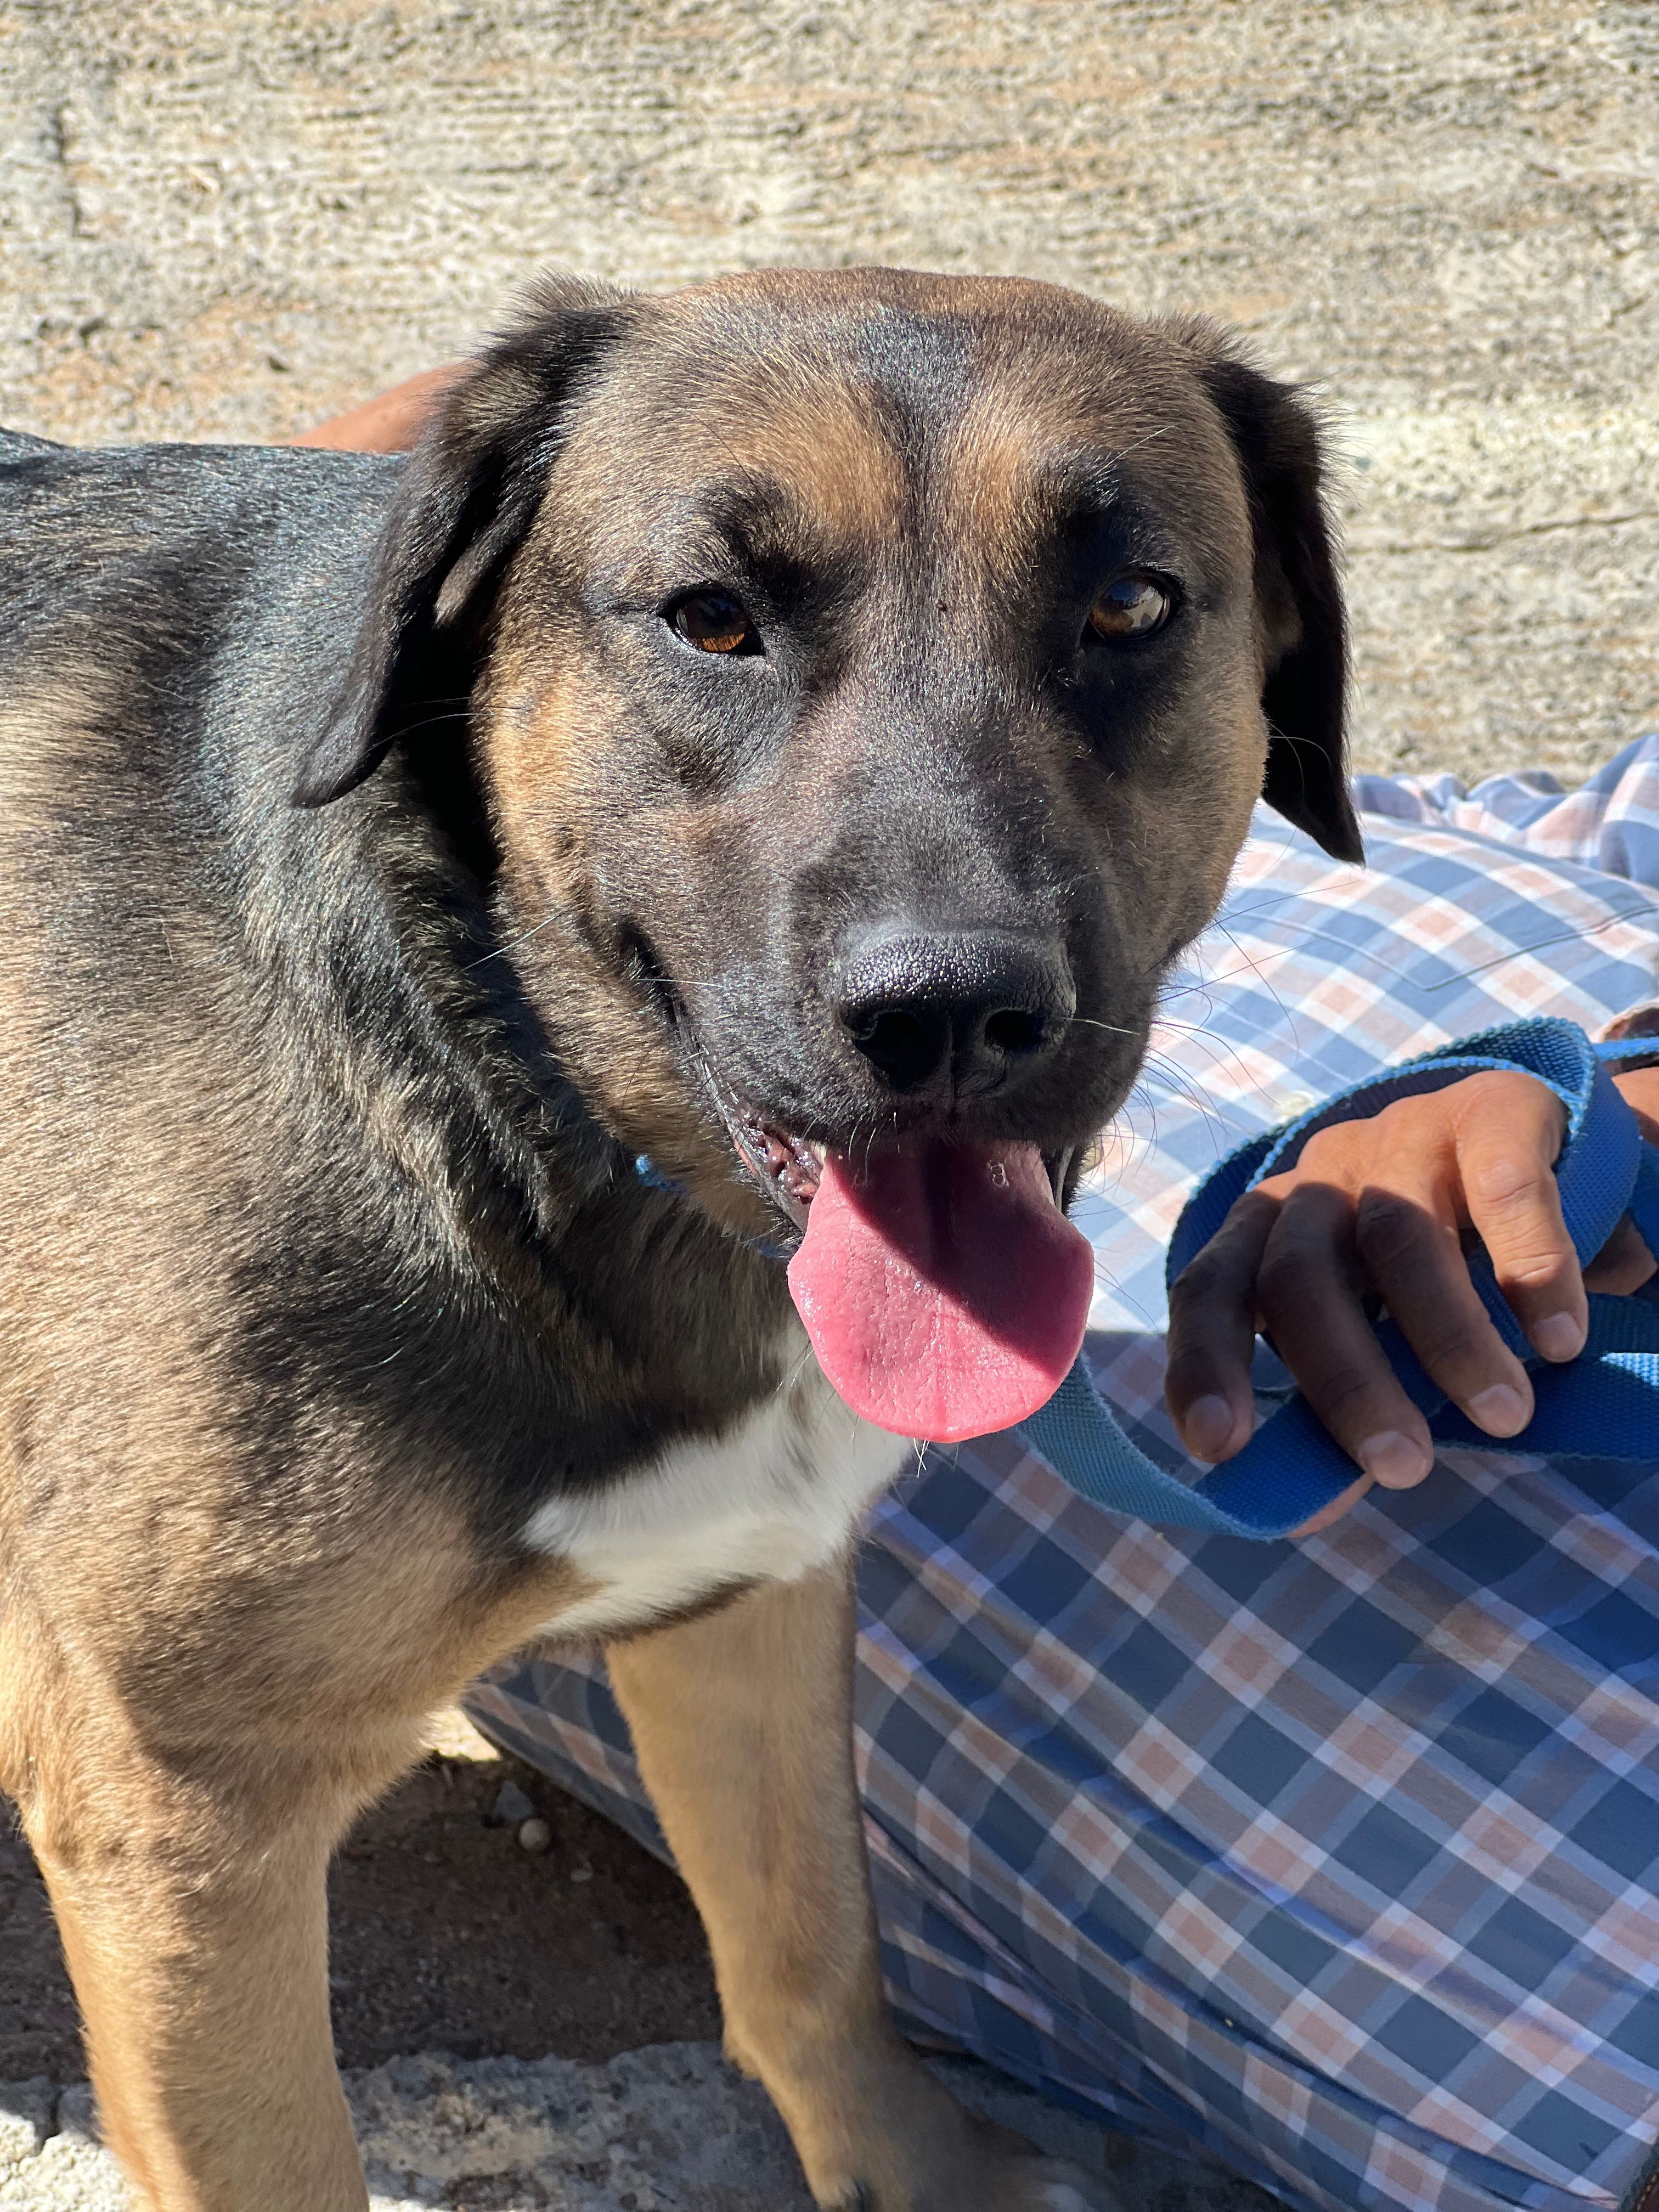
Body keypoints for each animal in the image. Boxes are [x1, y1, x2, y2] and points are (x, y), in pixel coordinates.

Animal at [0, 272, 1353, 2212]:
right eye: (713, 620)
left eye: (1129, 606)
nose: (950, 1014)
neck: (506, 1087)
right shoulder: (181, 1815)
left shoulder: (748, 1589)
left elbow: (813, 1954)